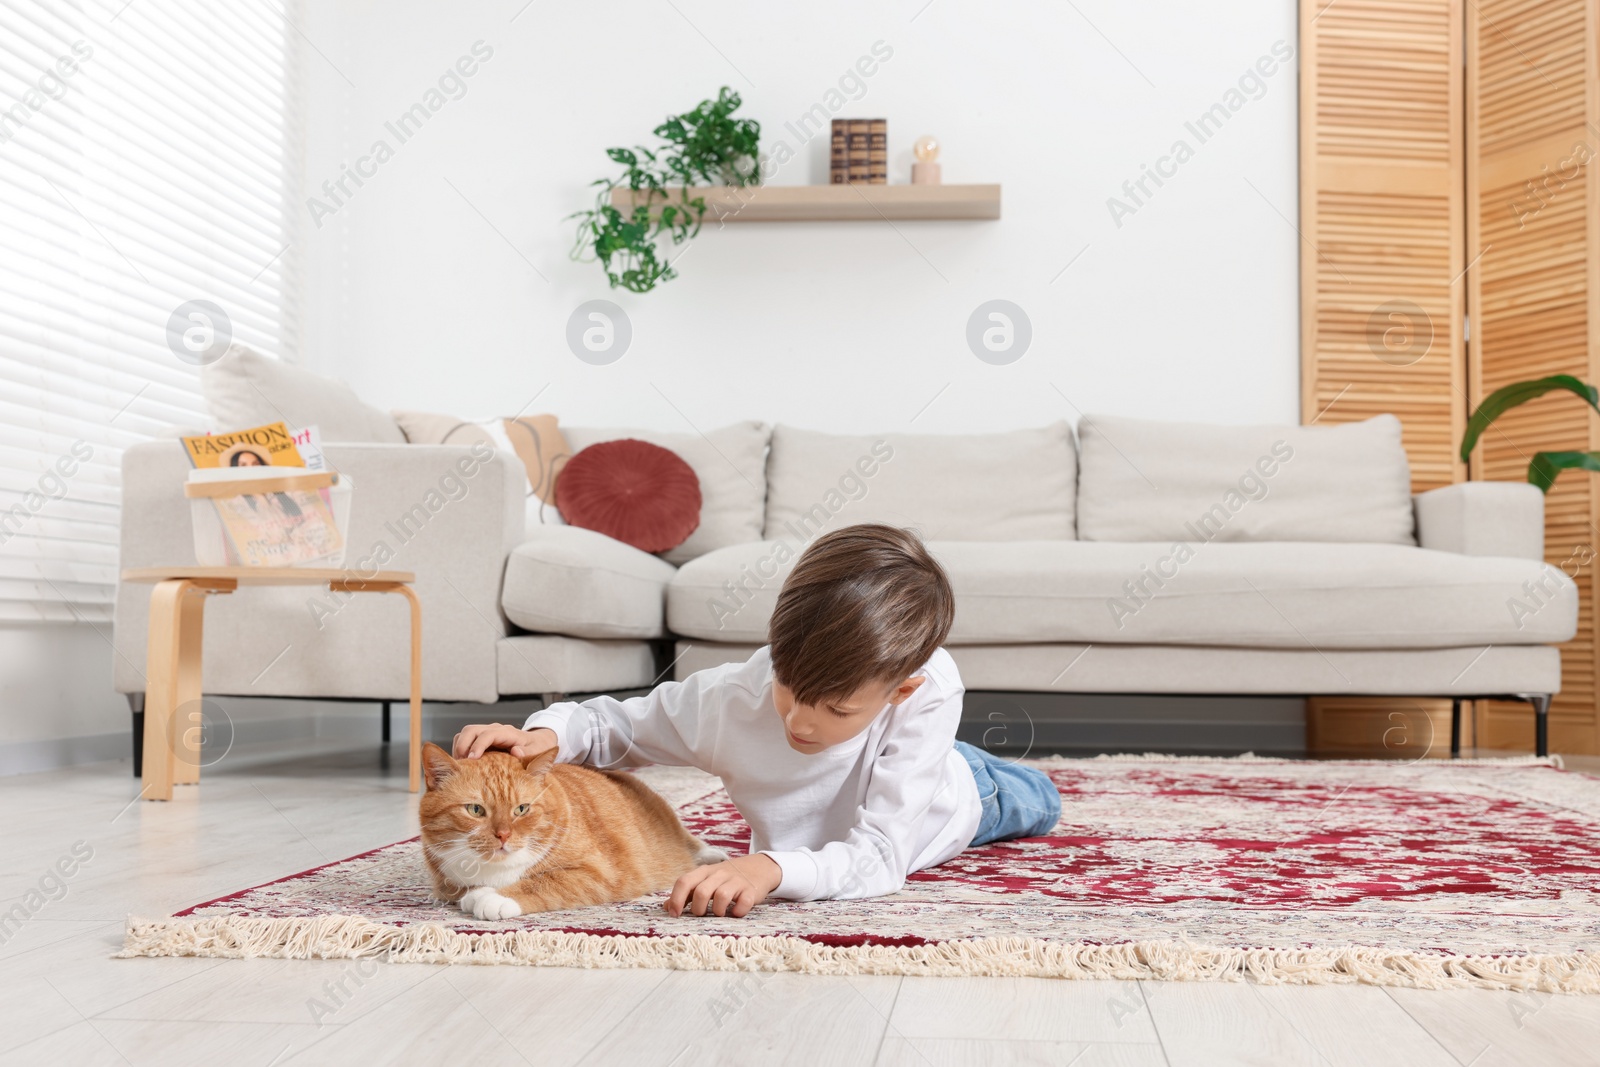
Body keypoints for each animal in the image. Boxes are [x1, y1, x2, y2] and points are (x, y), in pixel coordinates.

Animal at [416, 742, 723, 921]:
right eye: (476, 810)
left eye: (522, 809)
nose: (503, 835)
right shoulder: (447, 882)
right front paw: (479, 891)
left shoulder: (596, 873)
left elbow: (543, 882)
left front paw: (494, 897)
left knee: (690, 845)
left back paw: (714, 856)